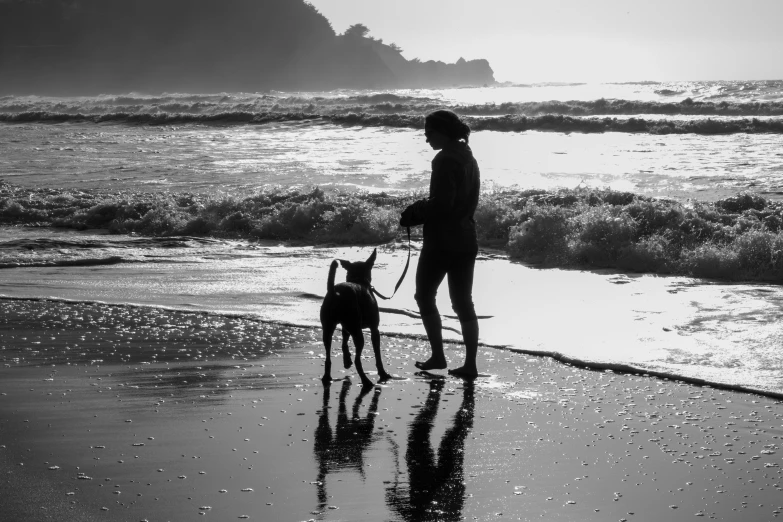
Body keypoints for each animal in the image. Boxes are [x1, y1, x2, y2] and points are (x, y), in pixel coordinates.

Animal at [318, 248, 392, 386]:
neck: (358, 279)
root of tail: (336, 293)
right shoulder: (374, 329)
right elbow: (377, 353)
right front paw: (382, 373)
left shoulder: (346, 326)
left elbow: (344, 341)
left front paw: (347, 360)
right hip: (356, 330)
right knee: (358, 359)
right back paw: (366, 381)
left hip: (329, 326)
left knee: (328, 354)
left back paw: (327, 376)